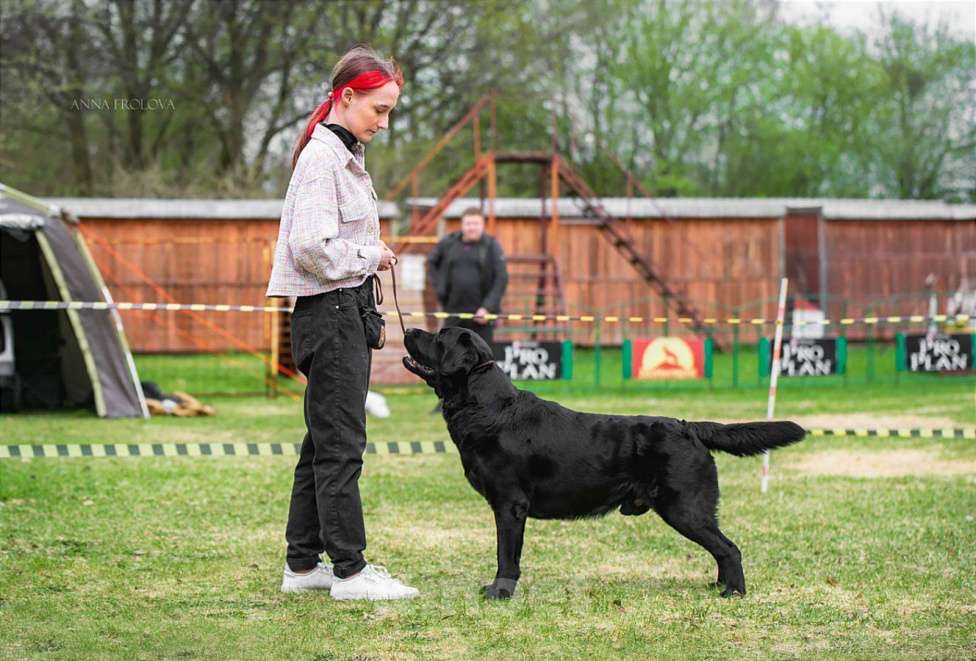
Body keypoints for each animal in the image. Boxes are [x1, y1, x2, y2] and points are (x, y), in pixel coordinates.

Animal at [400, 324, 804, 600]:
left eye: (440, 337)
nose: (408, 328)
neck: (487, 407)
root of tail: (688, 426)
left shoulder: (510, 505)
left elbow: (506, 555)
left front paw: (500, 591)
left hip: (684, 507)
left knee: (729, 548)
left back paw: (733, 592)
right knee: (722, 549)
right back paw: (718, 584)